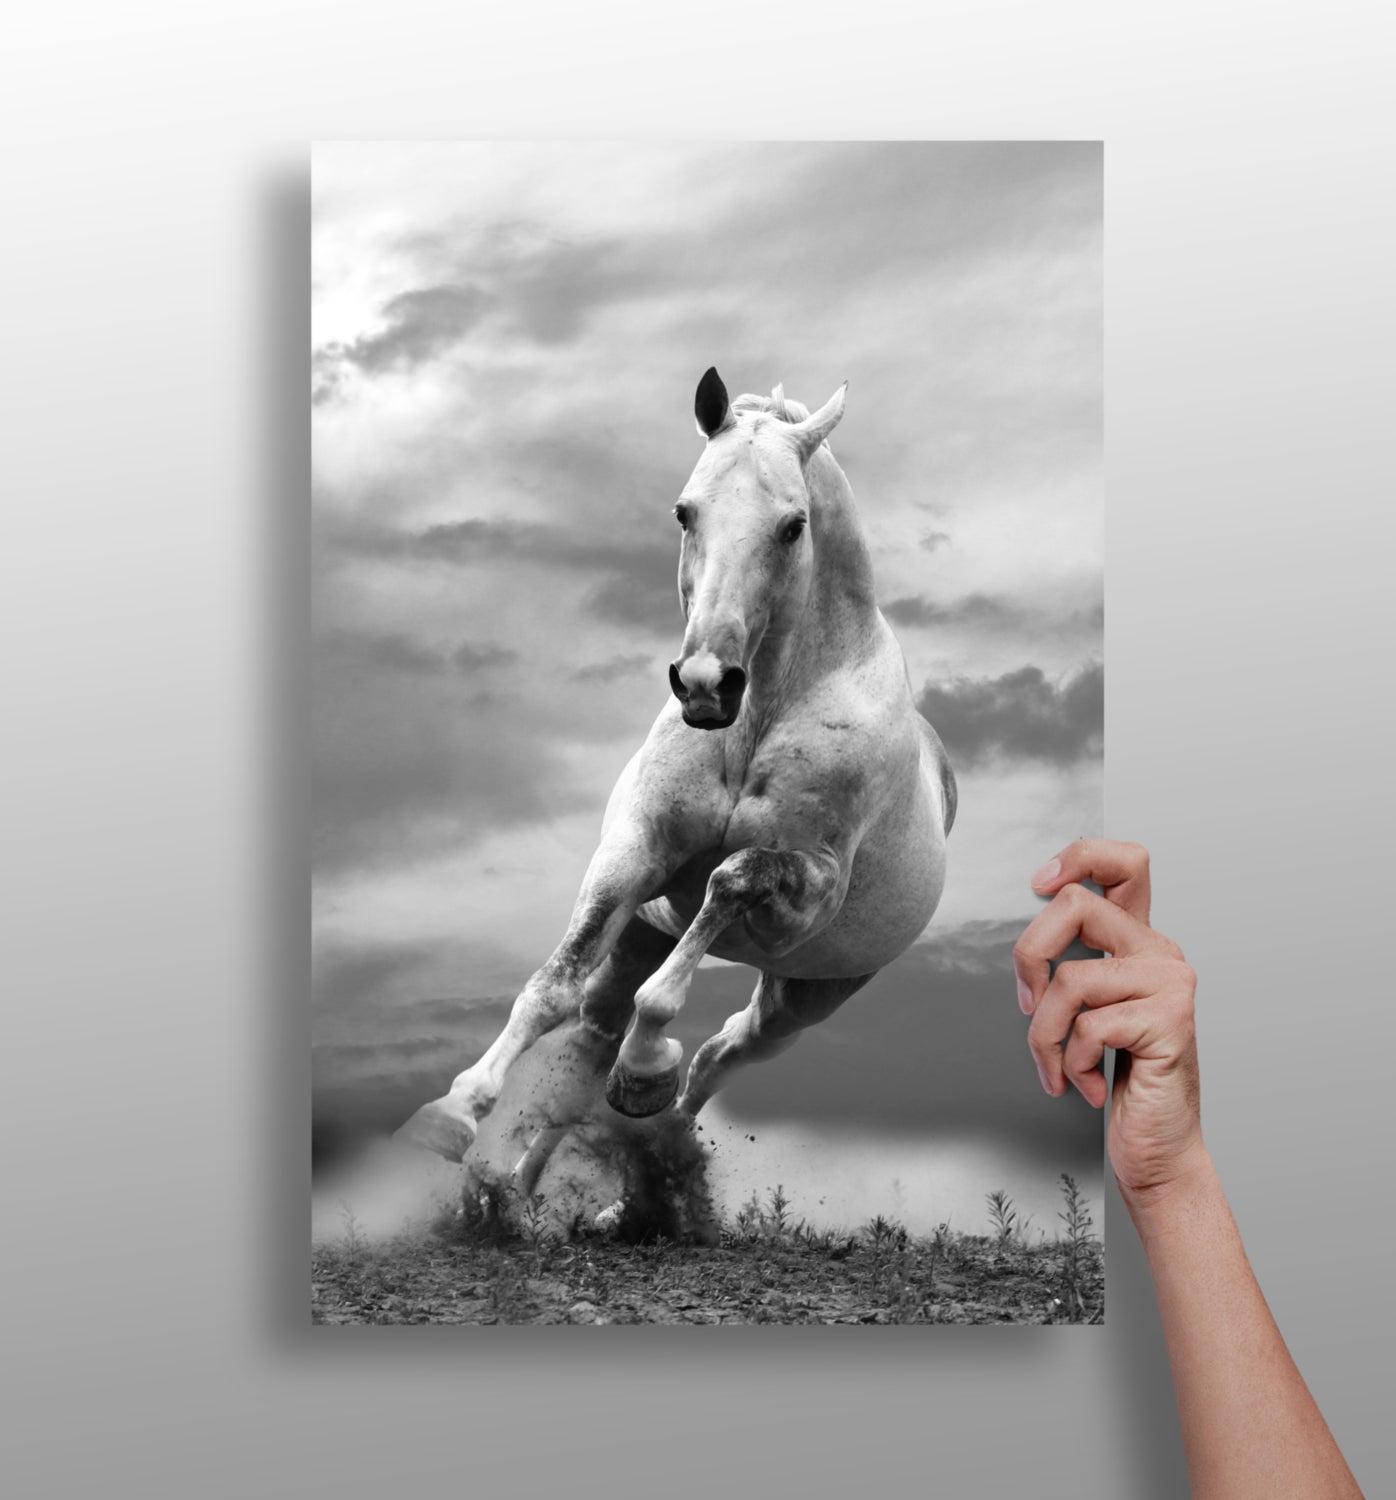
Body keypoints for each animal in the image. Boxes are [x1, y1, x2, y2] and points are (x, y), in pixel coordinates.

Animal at [396, 368, 957, 1192]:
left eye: (793, 526)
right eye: (684, 511)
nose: (704, 684)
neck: (757, 718)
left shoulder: (806, 894)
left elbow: (727, 884)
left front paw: (644, 1066)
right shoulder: (635, 851)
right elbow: (552, 985)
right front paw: (452, 1112)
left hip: (802, 999)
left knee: (720, 1056)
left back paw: (638, 1143)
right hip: (642, 936)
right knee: (588, 1045)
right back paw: (520, 1195)